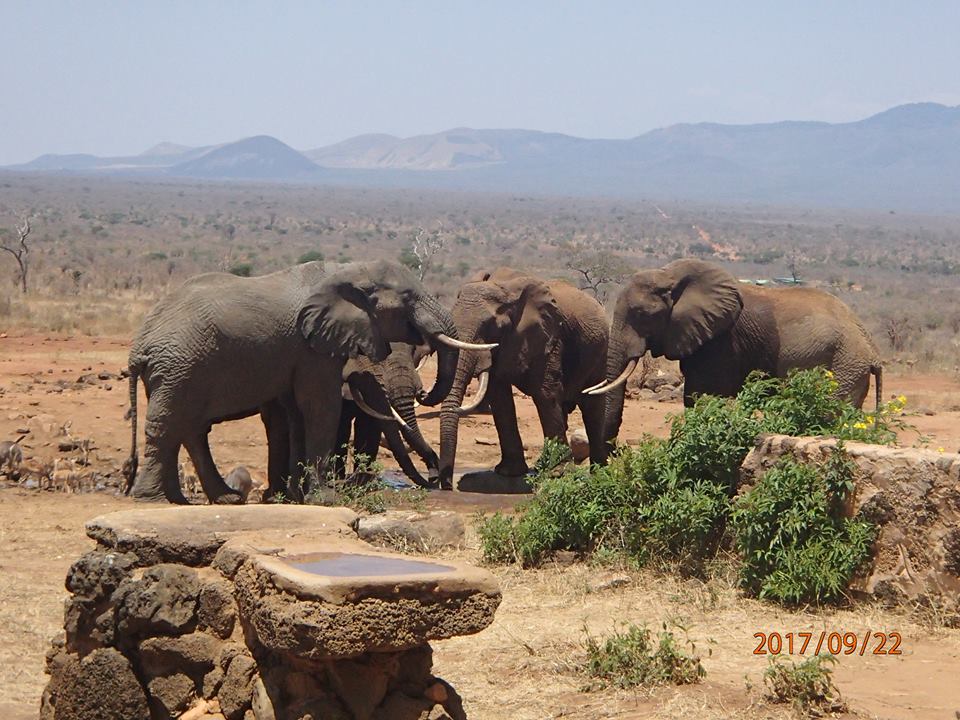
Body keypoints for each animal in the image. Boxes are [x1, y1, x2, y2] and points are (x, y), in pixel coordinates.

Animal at [334, 342, 440, 487]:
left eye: (413, 349)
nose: (433, 478)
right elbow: (341, 425)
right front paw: (337, 481)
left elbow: (367, 425)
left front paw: (362, 482)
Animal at [438, 268, 609, 489]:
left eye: (490, 326)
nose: (446, 485)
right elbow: (499, 396)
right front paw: (508, 472)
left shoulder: (548, 336)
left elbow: (545, 393)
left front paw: (557, 475)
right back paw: (542, 465)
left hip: (600, 352)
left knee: (592, 404)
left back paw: (599, 472)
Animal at [592, 258, 883, 443]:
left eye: (641, 315)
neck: (670, 276)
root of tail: (873, 351)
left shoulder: (722, 342)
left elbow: (703, 396)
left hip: (843, 365)